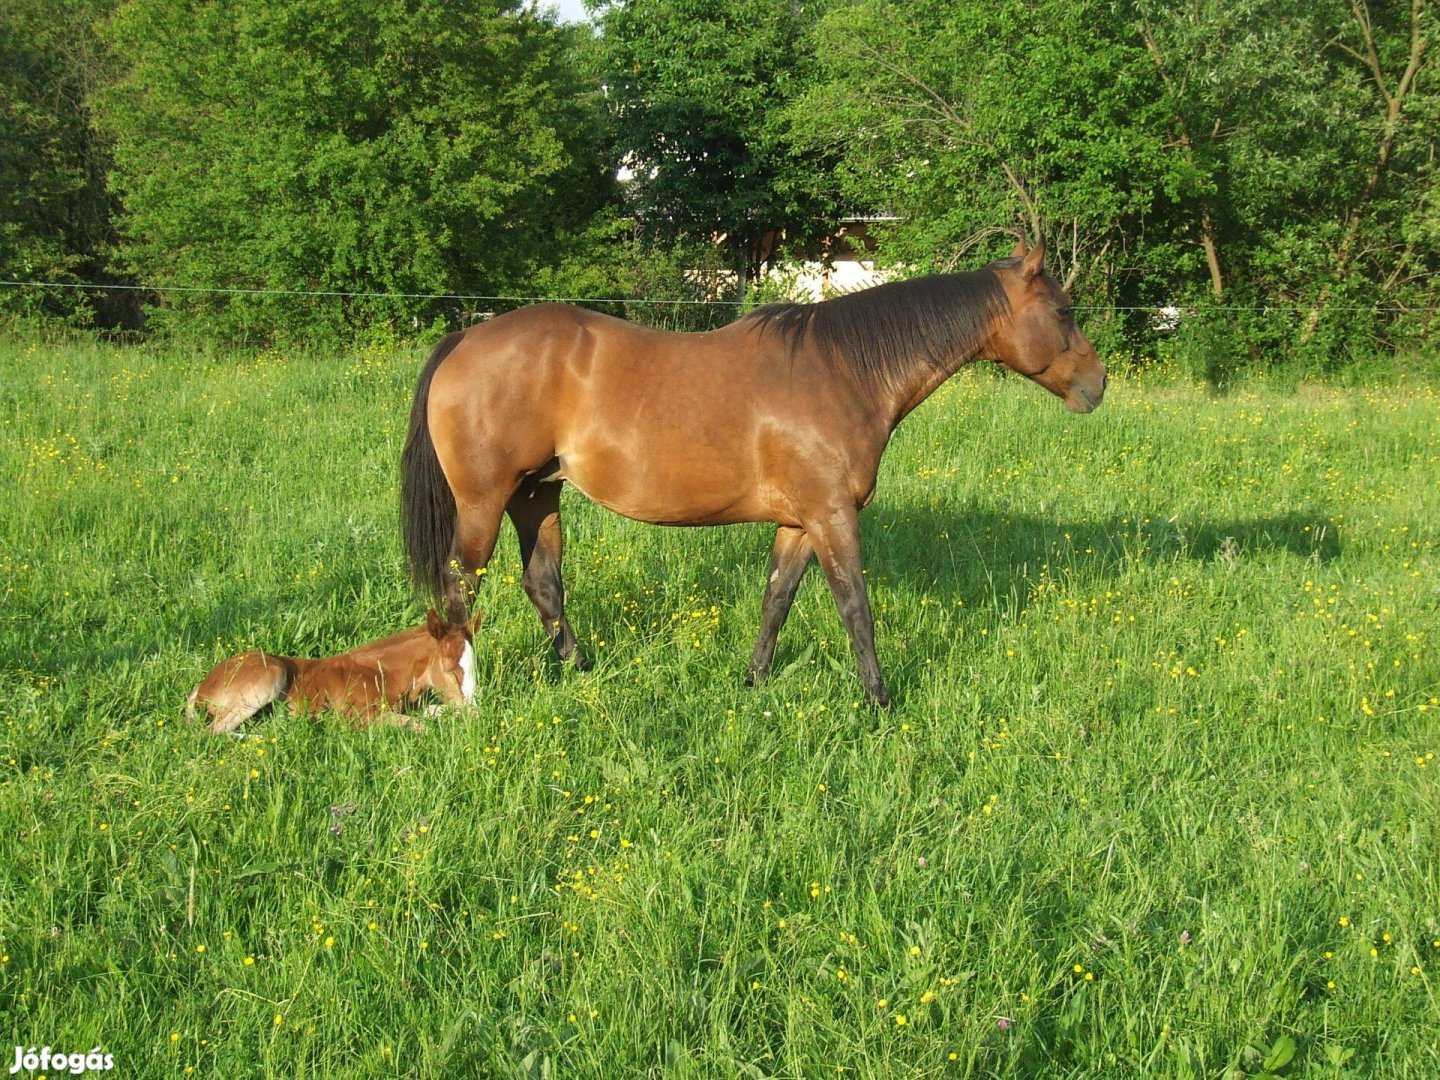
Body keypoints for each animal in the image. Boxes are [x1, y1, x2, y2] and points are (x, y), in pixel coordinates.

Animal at [182, 610, 478, 737]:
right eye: (451, 669)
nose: (475, 708)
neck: (382, 674)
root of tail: (202, 686)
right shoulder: (361, 718)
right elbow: (419, 724)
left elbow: (432, 712)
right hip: (270, 676)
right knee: (210, 732)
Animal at [403, 240, 1100, 705]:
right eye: (1064, 312)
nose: (1097, 386)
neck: (843, 371)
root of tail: (466, 340)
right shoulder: (832, 516)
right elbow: (854, 605)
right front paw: (878, 700)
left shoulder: (800, 521)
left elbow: (777, 599)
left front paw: (754, 682)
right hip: (485, 502)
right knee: (461, 587)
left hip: (537, 495)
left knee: (543, 584)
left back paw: (583, 671)